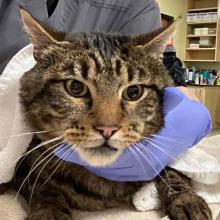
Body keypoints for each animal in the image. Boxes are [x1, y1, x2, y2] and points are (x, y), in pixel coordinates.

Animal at [13, 9, 211, 219]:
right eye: (75, 88)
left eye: (133, 92)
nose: (107, 129)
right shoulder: (24, 166)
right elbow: (41, 185)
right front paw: (49, 210)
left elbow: (172, 171)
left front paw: (187, 199)